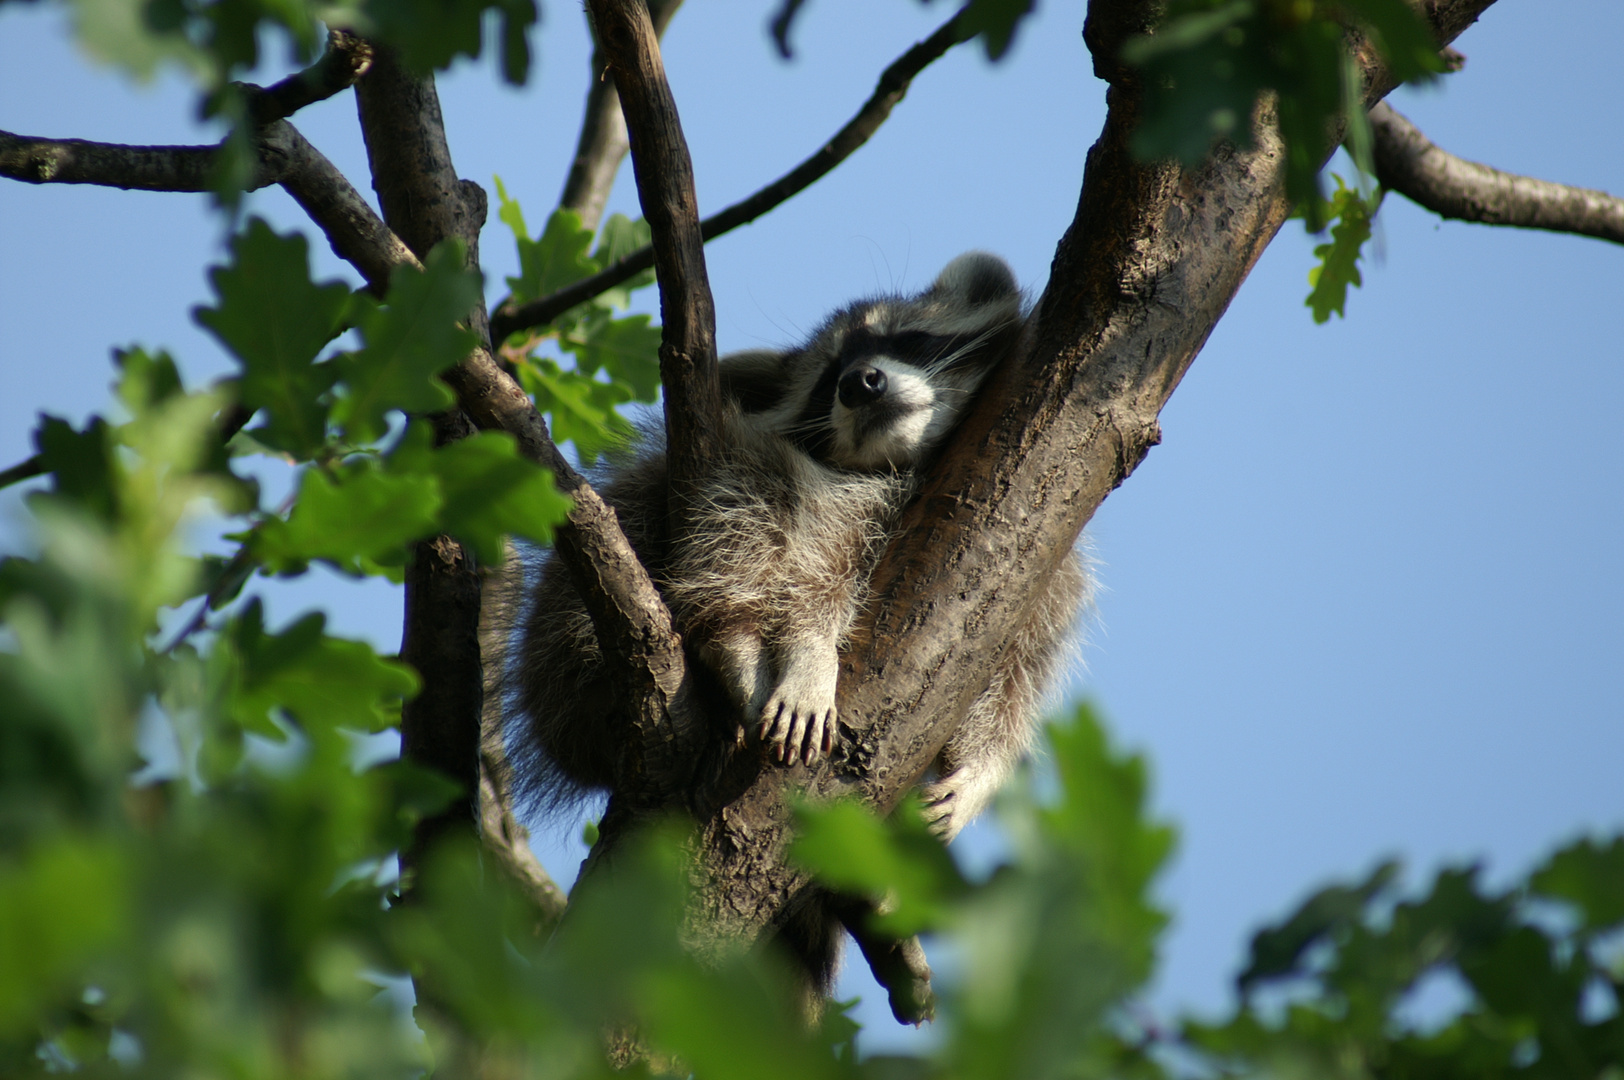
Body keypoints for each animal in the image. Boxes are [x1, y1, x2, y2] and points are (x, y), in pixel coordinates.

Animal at [506, 254, 1091, 844]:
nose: (860, 382)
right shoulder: (837, 495)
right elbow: (807, 571)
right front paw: (808, 651)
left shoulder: (1045, 555)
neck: (911, 461)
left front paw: (980, 767)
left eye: (906, 339)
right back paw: (732, 636)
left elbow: (1016, 669)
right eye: (827, 380)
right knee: (742, 515)